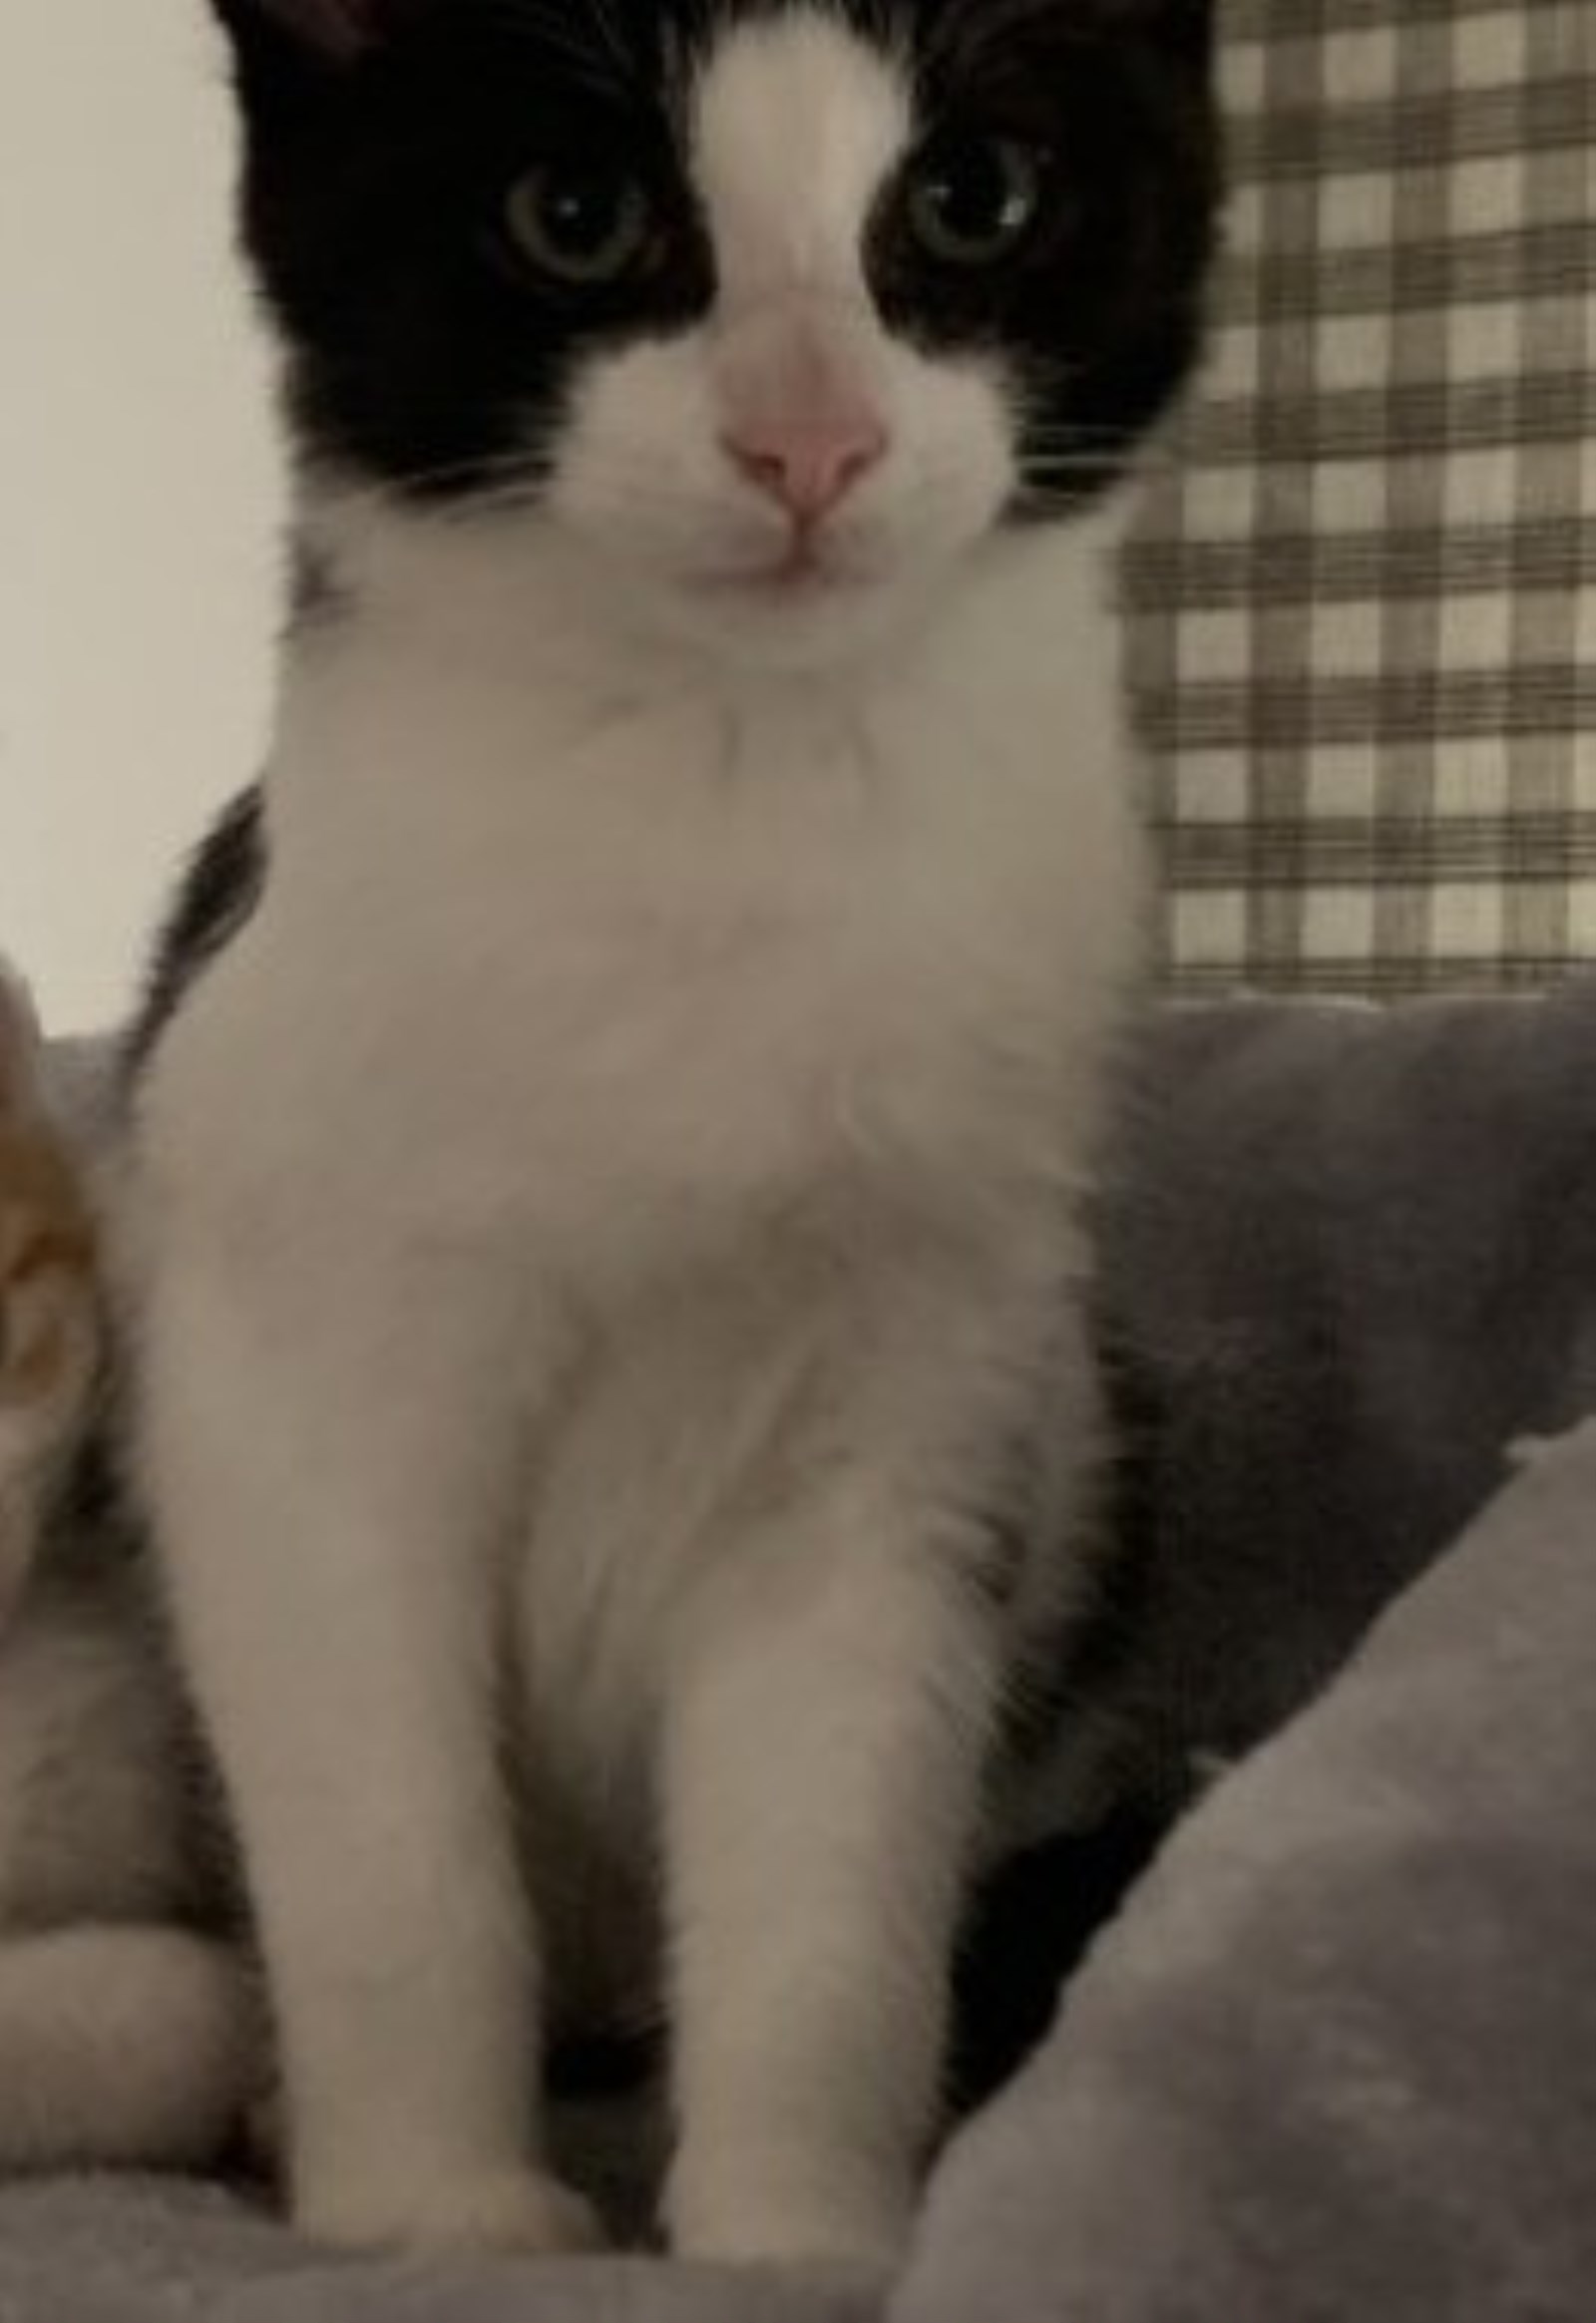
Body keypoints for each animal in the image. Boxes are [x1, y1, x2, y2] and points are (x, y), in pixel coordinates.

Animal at [127, 0, 1219, 2266]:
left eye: (971, 196)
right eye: (576, 213)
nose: (806, 440)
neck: (726, 781)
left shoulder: (910, 1401)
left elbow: (830, 1872)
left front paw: (795, 2228)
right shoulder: (284, 1358)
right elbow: (383, 1843)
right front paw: (430, 2210)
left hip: (1093, 1423)